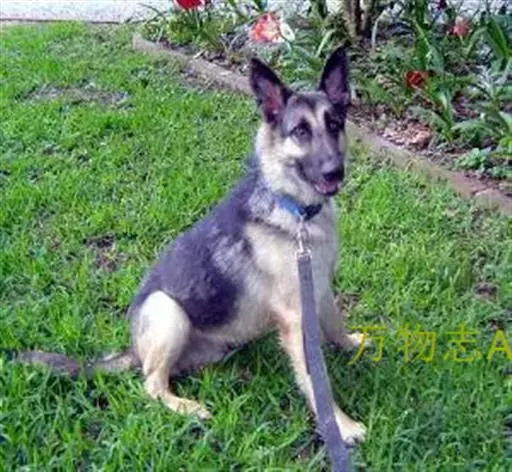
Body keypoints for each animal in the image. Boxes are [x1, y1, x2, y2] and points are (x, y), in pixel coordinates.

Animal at [17, 47, 367, 446]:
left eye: (334, 124)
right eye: (301, 131)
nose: (334, 172)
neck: (294, 209)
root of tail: (134, 349)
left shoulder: (319, 288)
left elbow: (335, 324)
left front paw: (352, 344)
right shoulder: (296, 317)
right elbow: (314, 376)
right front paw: (340, 425)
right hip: (168, 311)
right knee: (151, 383)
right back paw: (187, 407)